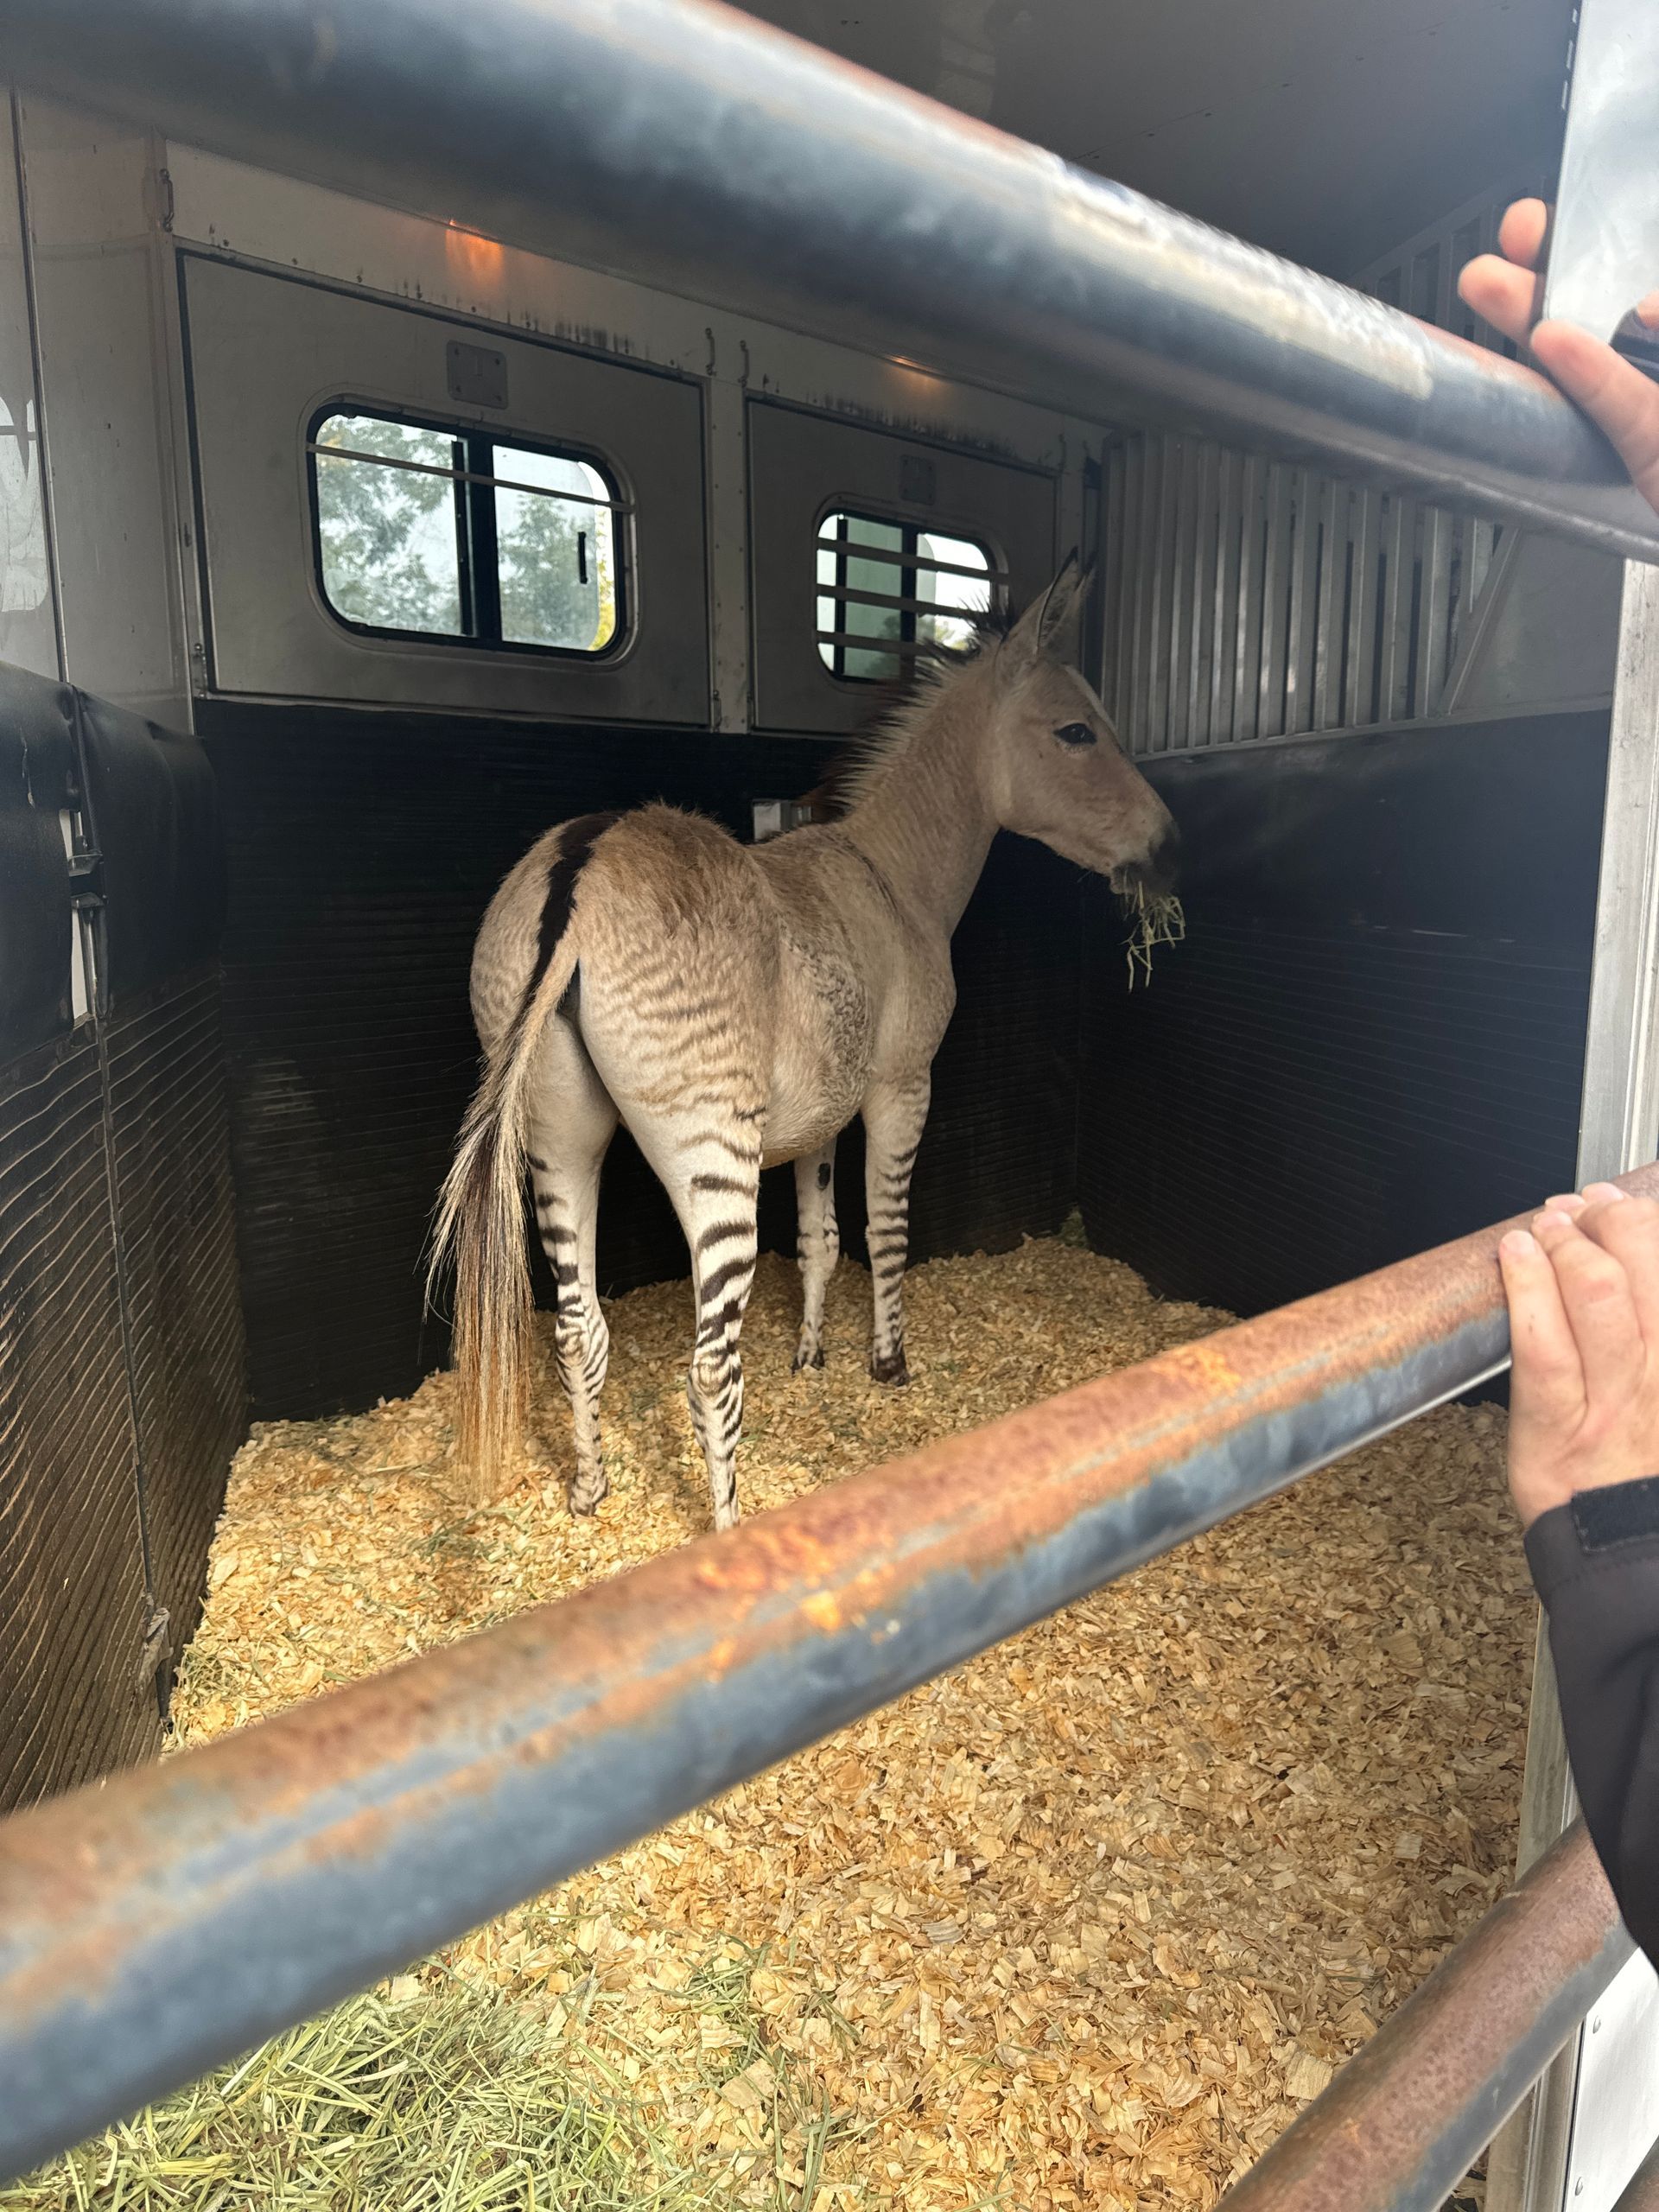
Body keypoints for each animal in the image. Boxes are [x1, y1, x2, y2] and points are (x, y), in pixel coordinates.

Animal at [431, 557, 1179, 1531]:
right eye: (1077, 732)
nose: (1173, 848)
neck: (897, 878)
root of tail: (580, 873)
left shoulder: (821, 1113)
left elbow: (820, 1234)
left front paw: (812, 1356)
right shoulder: (901, 1085)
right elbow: (886, 1230)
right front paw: (888, 1363)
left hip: (560, 1136)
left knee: (577, 1326)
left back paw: (592, 1492)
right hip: (707, 1144)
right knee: (709, 1363)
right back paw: (729, 1533)